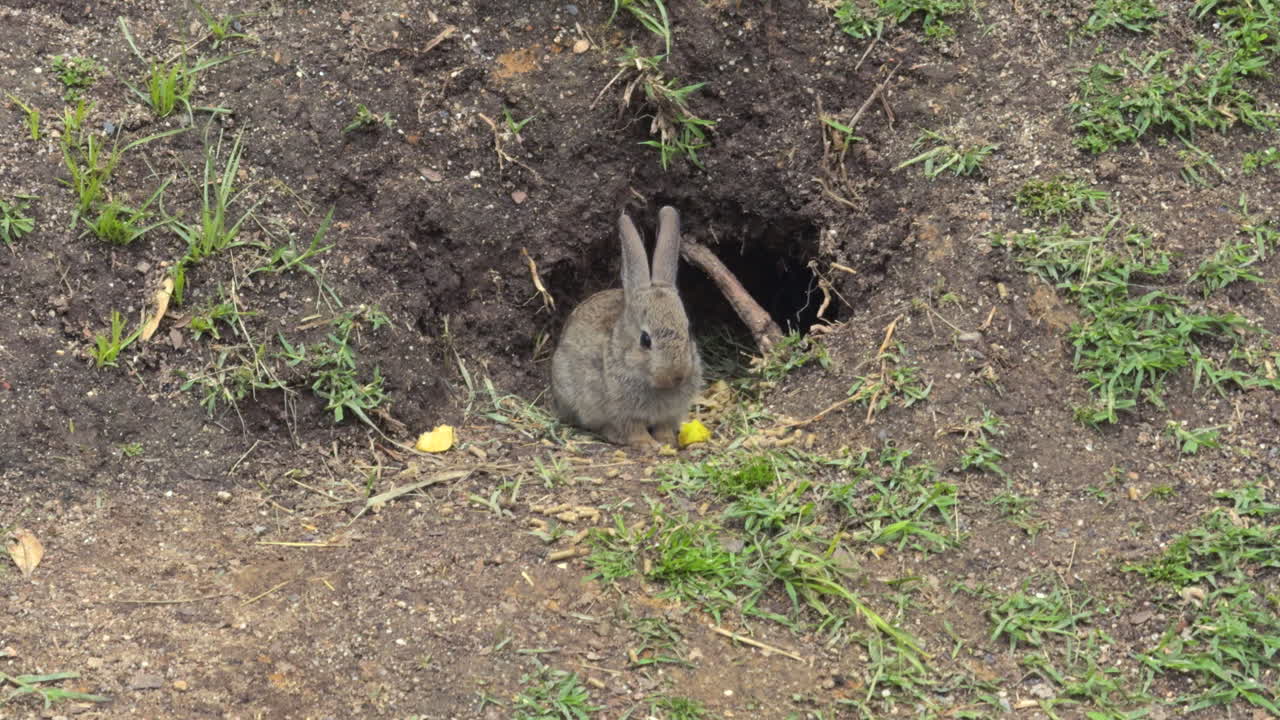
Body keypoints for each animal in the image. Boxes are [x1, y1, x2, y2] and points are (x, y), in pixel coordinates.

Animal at [551, 206, 703, 450]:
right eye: (645, 340)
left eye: (688, 332)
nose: (677, 376)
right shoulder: (623, 412)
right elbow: (634, 428)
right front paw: (647, 445)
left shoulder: (669, 414)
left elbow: (663, 427)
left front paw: (667, 442)